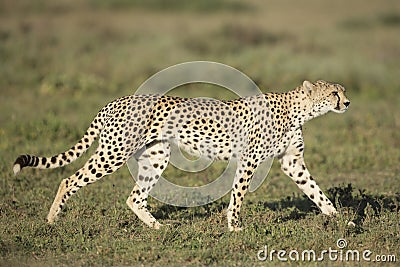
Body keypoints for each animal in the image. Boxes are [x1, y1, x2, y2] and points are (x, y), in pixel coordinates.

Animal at [13, 80, 350, 232]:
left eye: (342, 91)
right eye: (334, 93)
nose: (347, 103)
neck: (298, 111)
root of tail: (115, 100)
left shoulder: (292, 162)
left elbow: (316, 191)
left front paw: (339, 218)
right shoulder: (249, 160)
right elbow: (238, 194)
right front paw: (234, 226)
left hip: (156, 155)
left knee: (134, 197)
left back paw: (157, 228)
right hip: (114, 152)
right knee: (69, 180)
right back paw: (52, 219)